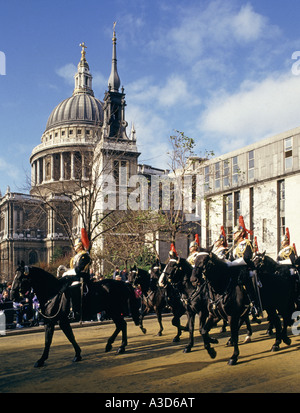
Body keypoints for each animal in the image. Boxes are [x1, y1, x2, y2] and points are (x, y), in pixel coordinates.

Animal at [12, 262, 146, 366]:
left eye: (20, 278)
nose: (13, 295)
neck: (53, 293)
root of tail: (123, 283)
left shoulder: (58, 321)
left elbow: (61, 338)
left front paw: (76, 354)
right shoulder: (53, 322)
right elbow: (55, 339)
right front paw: (43, 359)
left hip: (114, 310)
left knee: (122, 325)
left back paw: (120, 347)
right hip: (111, 311)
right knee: (121, 325)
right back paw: (112, 345)